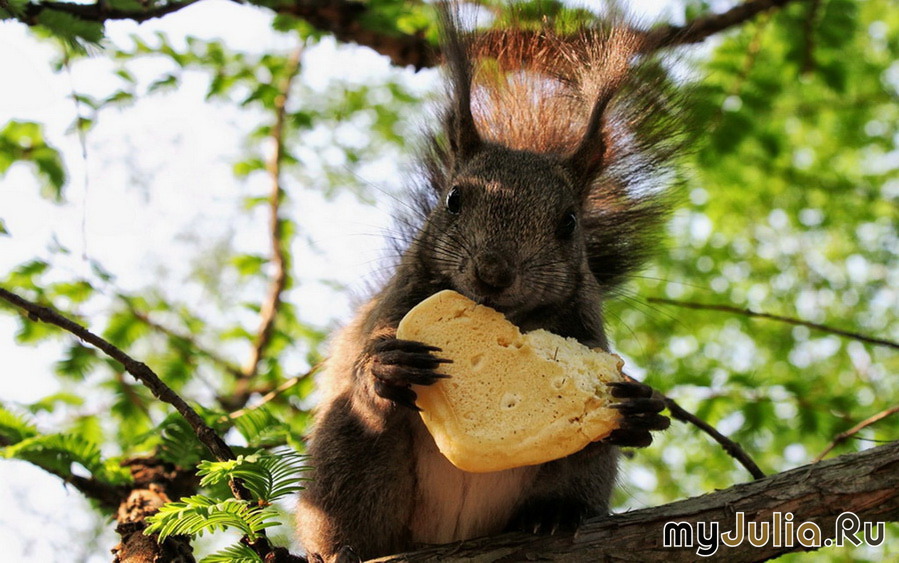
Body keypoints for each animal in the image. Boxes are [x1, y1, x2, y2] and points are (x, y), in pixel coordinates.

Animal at [296, 7, 679, 562]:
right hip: (348, 456)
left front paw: (640, 408)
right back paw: (340, 547)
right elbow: (363, 360)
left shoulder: (586, 328)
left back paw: (555, 514)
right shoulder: (396, 304)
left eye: (569, 222)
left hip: (580, 472)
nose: (494, 272)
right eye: (453, 199)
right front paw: (384, 364)